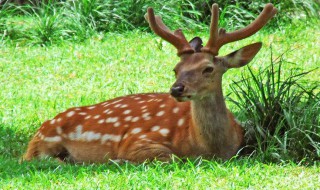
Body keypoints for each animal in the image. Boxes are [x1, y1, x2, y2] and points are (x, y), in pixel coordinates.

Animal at [23, 3, 276, 163]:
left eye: (208, 68)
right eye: (176, 69)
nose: (176, 89)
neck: (209, 148)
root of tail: (39, 130)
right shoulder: (137, 140)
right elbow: (172, 158)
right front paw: (118, 161)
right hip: (44, 145)